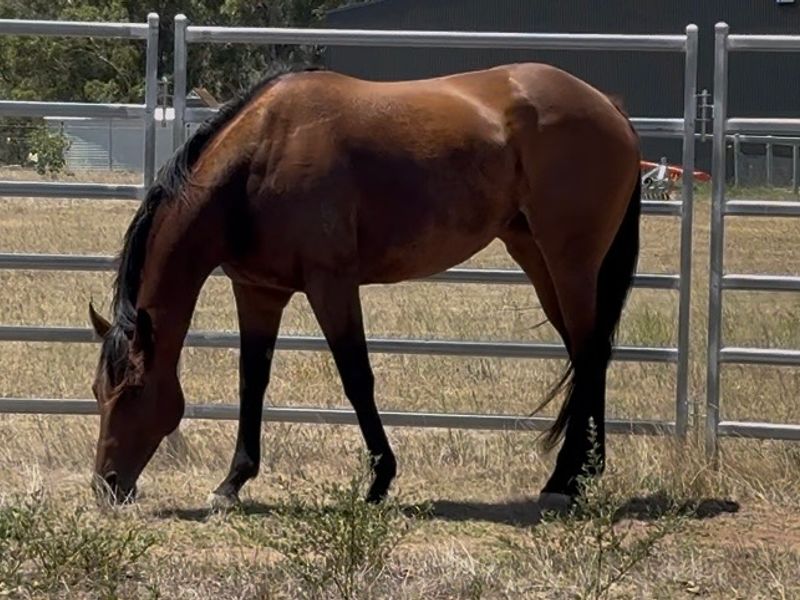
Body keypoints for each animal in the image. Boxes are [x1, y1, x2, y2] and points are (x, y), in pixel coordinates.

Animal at [87, 61, 641, 507]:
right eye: (97, 390)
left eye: (133, 391)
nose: (107, 485)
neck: (260, 156)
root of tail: (607, 105)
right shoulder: (259, 292)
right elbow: (252, 382)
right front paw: (233, 482)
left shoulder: (331, 285)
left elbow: (357, 377)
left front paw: (380, 480)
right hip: (538, 259)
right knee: (588, 355)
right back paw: (582, 473)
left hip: (570, 264)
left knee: (590, 353)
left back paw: (565, 480)